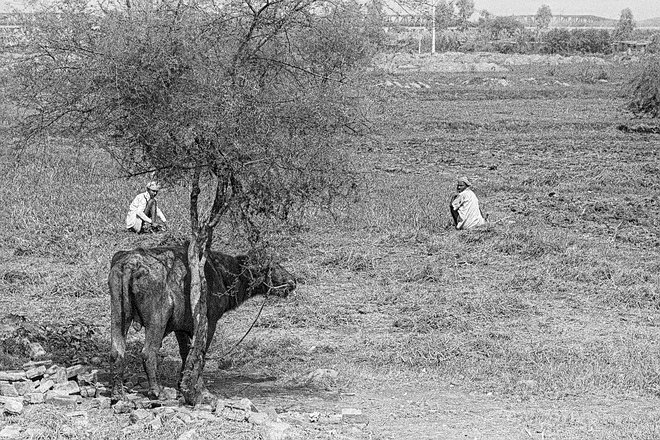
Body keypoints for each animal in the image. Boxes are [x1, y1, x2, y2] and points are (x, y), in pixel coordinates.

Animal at [109, 246, 296, 400]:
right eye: (272, 266)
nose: (293, 281)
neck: (222, 273)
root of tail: (131, 263)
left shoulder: (181, 329)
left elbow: (186, 354)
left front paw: (183, 384)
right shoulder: (209, 323)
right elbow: (201, 355)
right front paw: (199, 387)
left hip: (119, 316)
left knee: (117, 352)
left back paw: (118, 393)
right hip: (157, 320)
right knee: (148, 353)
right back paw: (157, 391)